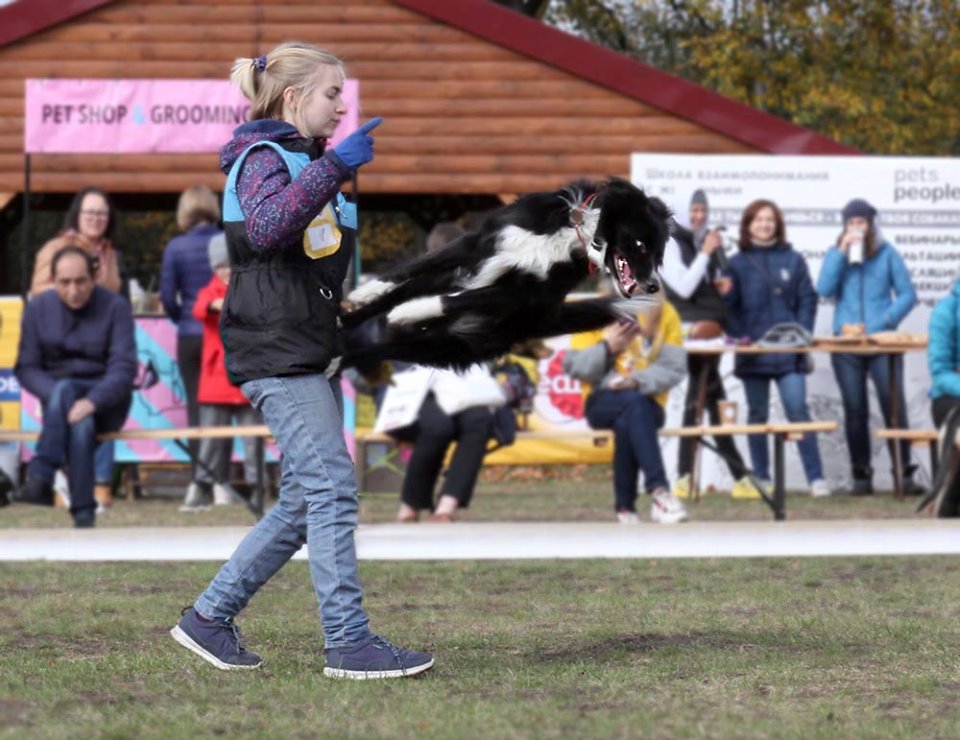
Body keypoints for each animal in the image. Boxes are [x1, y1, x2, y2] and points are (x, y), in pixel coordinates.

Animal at [344, 177, 668, 372]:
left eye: (658, 255)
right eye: (641, 245)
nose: (653, 286)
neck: (577, 232)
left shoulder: (522, 294)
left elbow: (459, 299)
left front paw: (410, 311)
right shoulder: (479, 244)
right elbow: (415, 266)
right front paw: (364, 292)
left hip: (447, 346)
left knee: (379, 351)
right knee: (395, 297)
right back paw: (348, 317)